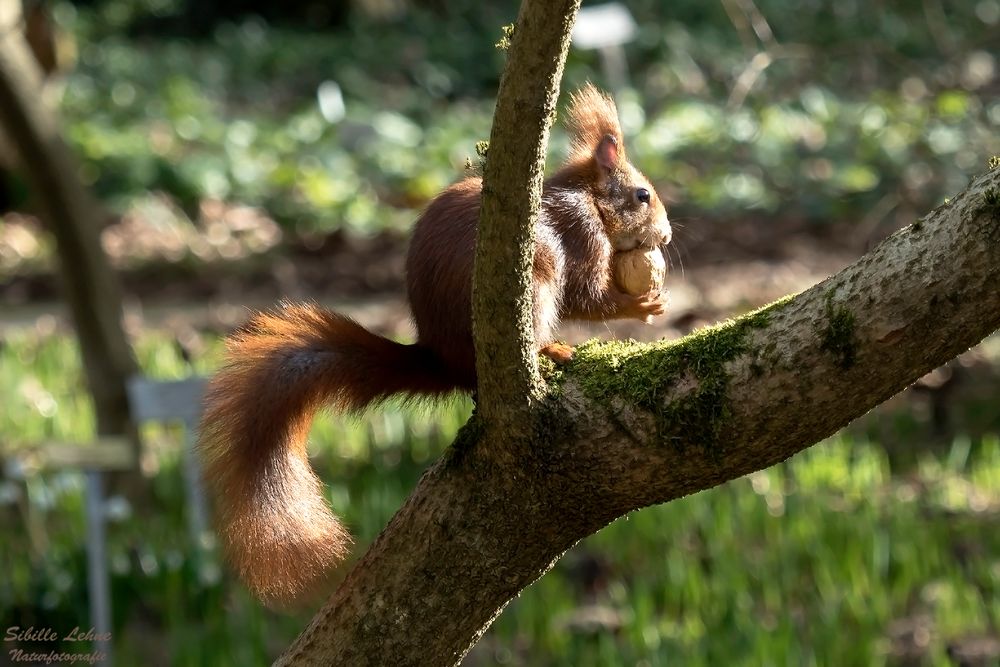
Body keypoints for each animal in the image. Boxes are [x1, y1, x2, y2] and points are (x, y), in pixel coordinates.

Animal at [198, 83, 668, 604]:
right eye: (643, 195)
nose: (667, 235)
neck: (584, 196)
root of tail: (444, 359)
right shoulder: (581, 232)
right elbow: (588, 295)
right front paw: (640, 305)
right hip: (537, 277)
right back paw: (550, 350)